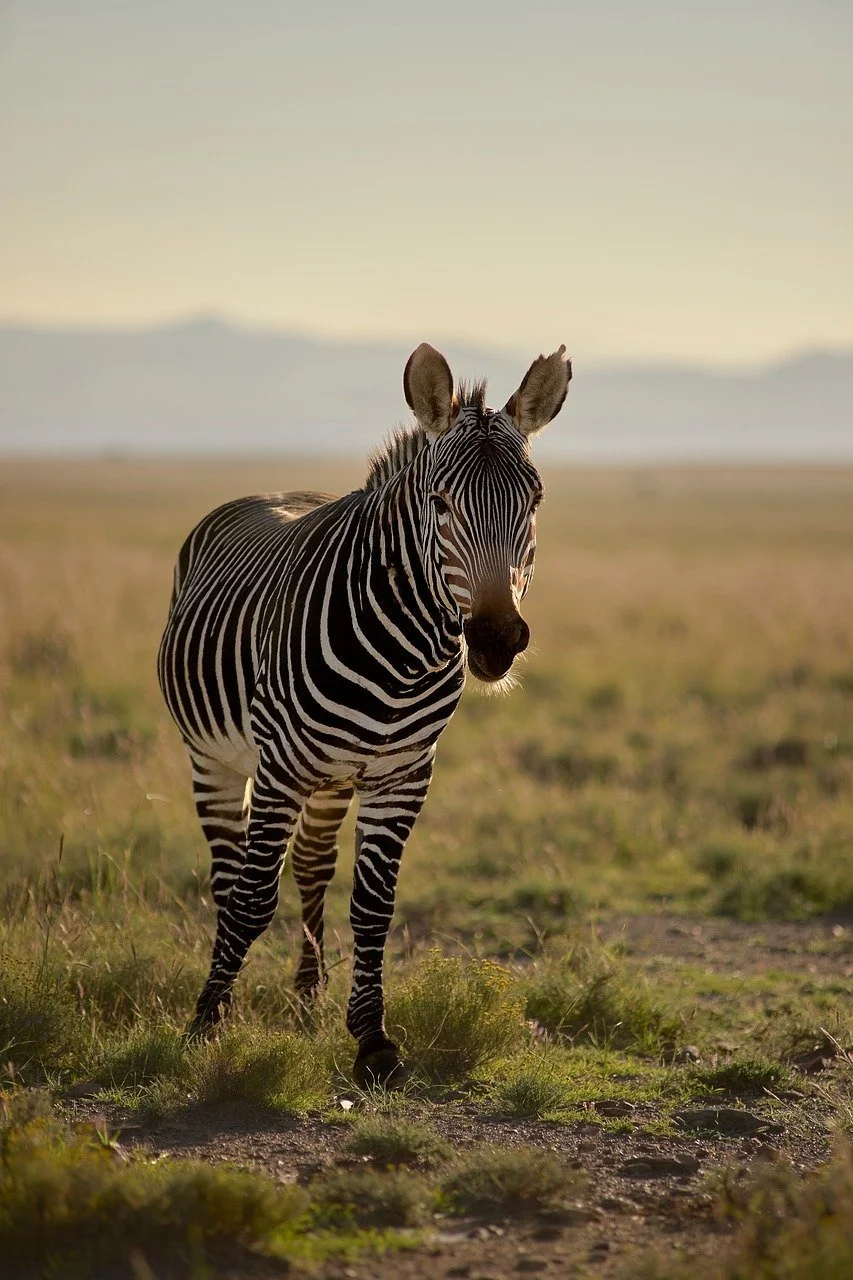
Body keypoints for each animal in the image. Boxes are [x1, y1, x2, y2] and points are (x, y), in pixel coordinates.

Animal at [157, 342, 572, 1086]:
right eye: (440, 502)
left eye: (534, 501)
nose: (496, 639)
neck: (402, 660)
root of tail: (268, 493)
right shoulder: (281, 768)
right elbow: (253, 899)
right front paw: (203, 1023)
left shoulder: (401, 776)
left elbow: (373, 907)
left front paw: (371, 1038)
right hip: (216, 758)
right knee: (230, 880)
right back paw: (221, 1002)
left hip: (331, 778)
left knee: (312, 866)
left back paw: (305, 999)